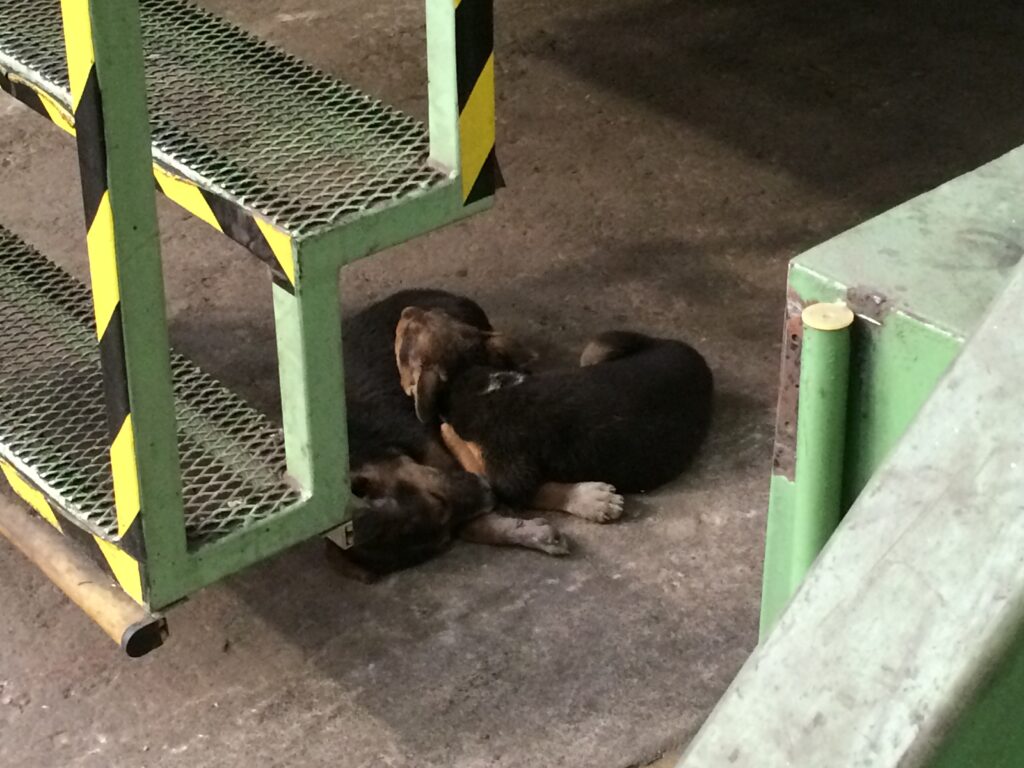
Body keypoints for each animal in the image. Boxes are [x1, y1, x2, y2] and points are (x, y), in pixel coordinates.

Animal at [339, 289, 577, 576]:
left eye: (437, 499)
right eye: (443, 537)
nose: (489, 492)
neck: (363, 447)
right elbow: (478, 526)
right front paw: (530, 532)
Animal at [395, 310, 713, 514]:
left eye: (403, 343)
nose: (407, 309)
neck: (471, 377)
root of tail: (697, 359)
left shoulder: (507, 479)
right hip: (603, 347)